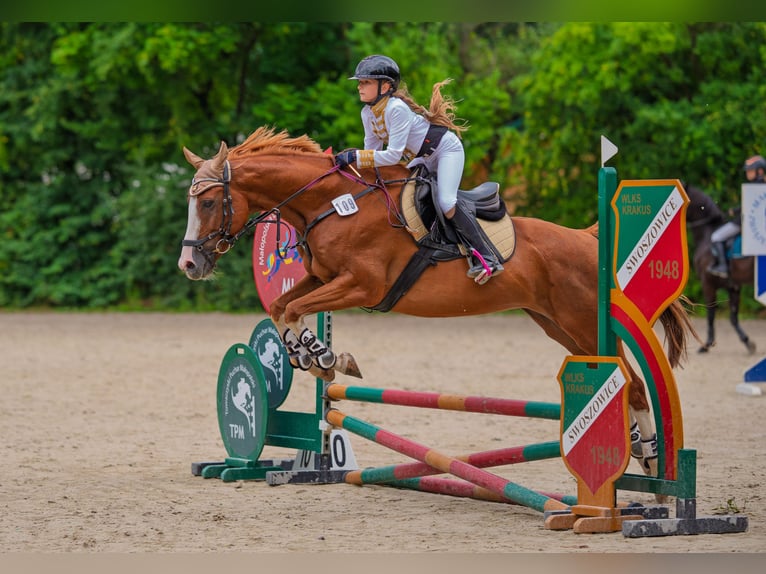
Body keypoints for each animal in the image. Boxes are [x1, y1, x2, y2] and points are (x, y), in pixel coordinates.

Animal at [177, 126, 696, 482]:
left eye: (208, 204)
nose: (189, 264)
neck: (330, 203)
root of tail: (588, 241)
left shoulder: (361, 285)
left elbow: (290, 310)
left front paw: (324, 356)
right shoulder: (321, 277)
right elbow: (282, 307)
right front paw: (313, 354)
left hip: (583, 321)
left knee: (633, 385)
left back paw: (651, 460)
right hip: (558, 325)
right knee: (624, 382)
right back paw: (638, 450)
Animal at [683, 184, 756, 354]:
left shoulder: (708, 284)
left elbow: (710, 314)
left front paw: (706, 345)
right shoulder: (733, 286)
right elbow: (733, 317)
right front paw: (747, 342)